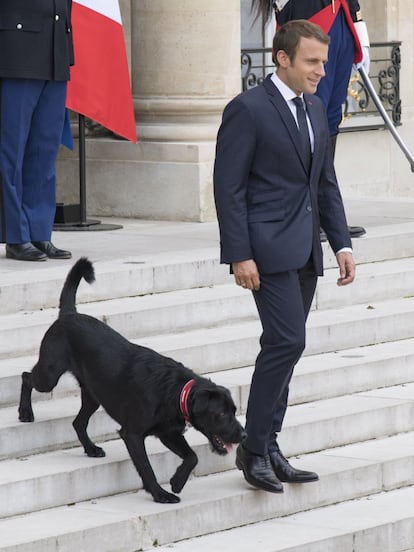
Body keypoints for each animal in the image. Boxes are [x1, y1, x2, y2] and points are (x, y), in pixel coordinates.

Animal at [17, 256, 246, 502]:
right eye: (221, 414)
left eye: (233, 411)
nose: (244, 435)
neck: (175, 391)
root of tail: (69, 314)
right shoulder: (133, 434)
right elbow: (146, 467)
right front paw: (160, 494)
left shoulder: (167, 432)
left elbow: (192, 456)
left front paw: (177, 482)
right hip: (49, 375)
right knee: (26, 377)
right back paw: (25, 412)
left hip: (93, 394)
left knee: (78, 422)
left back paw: (91, 448)